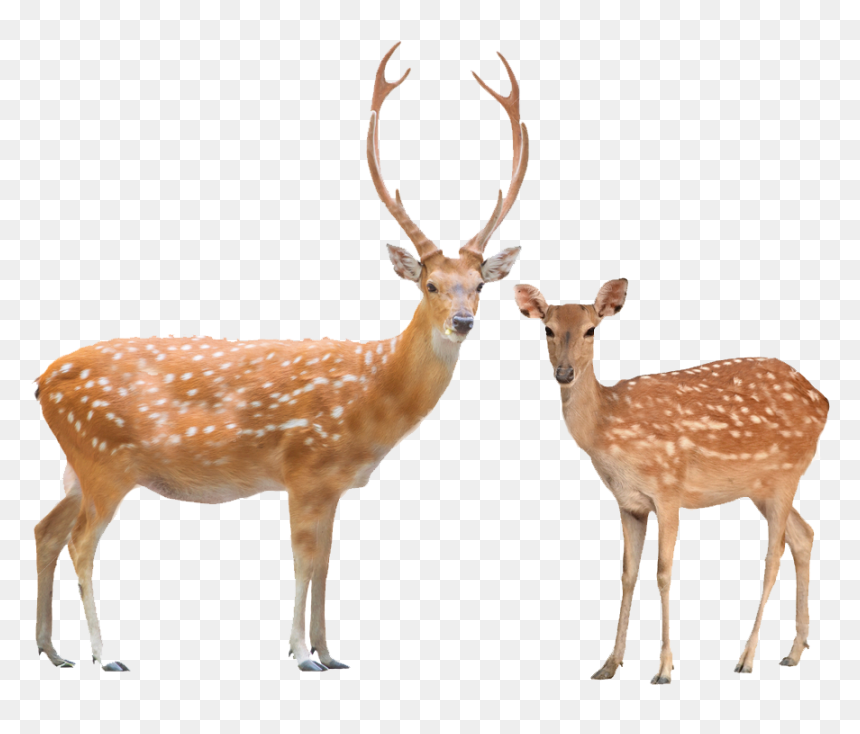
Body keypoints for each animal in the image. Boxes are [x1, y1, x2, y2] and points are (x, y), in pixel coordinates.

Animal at [33, 43, 529, 673]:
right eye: (430, 285)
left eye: (480, 285)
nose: (462, 321)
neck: (372, 399)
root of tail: (41, 381)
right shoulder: (305, 466)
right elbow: (303, 560)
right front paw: (300, 653)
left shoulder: (334, 483)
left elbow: (325, 562)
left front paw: (329, 651)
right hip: (103, 459)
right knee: (80, 542)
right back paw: (105, 654)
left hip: (77, 463)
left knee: (44, 530)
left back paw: (52, 650)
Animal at [514, 279, 828, 684]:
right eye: (548, 329)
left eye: (591, 330)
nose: (564, 373)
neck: (607, 426)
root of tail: (824, 401)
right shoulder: (629, 503)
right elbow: (627, 574)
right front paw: (609, 664)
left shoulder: (669, 490)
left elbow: (663, 573)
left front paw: (664, 668)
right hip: (761, 488)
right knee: (803, 535)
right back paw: (794, 651)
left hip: (787, 473)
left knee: (774, 555)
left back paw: (747, 657)